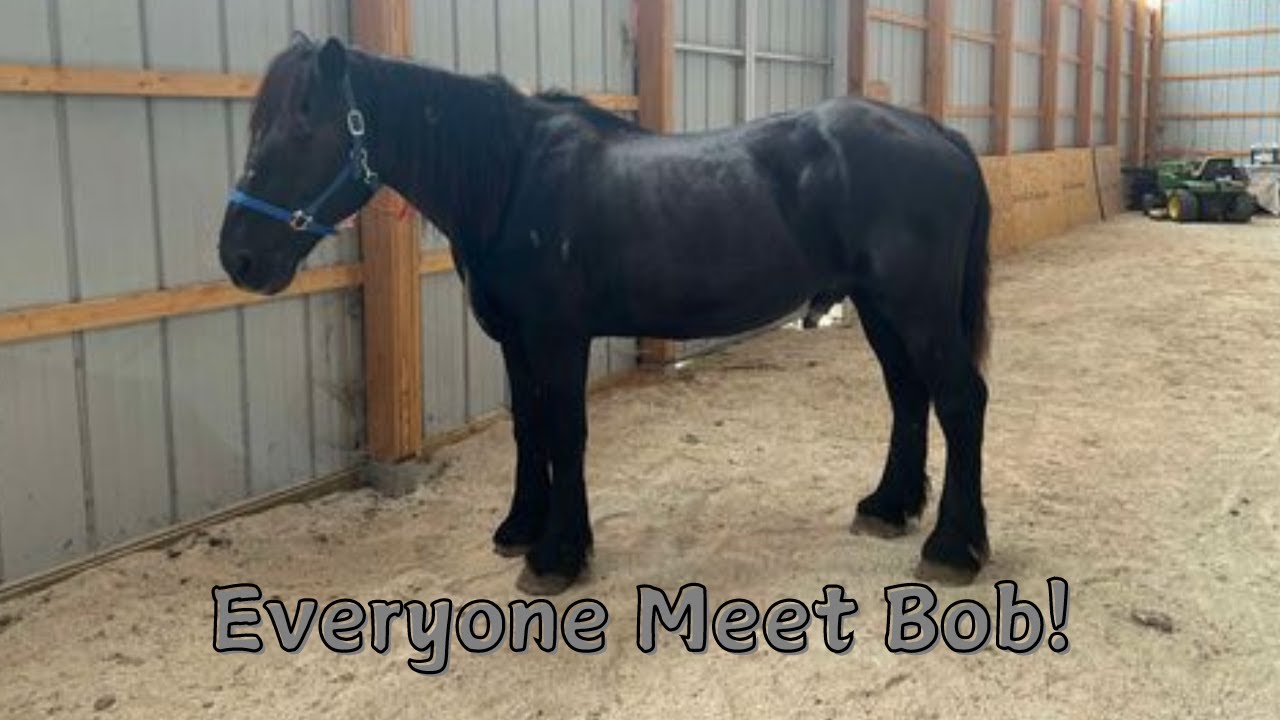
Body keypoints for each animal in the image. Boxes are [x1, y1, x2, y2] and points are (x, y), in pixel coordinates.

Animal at [219, 35, 992, 595]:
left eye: (301, 128)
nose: (239, 258)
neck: (514, 180)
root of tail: (940, 136)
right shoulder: (514, 340)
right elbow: (530, 430)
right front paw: (521, 529)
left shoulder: (558, 338)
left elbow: (565, 434)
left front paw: (558, 555)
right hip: (881, 307)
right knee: (908, 396)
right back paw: (889, 507)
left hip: (915, 307)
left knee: (959, 399)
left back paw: (953, 548)